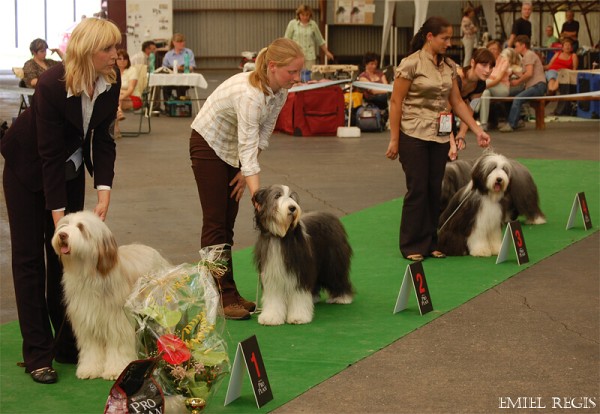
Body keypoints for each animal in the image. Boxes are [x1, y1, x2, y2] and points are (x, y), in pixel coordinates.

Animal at [51, 212, 171, 380]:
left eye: (81, 227)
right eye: (64, 225)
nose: (62, 235)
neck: (90, 275)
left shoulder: (117, 321)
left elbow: (118, 346)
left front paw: (115, 370)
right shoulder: (87, 322)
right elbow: (92, 349)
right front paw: (90, 369)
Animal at [252, 185, 354, 326]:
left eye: (291, 197)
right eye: (277, 196)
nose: (292, 208)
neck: (281, 237)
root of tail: (331, 216)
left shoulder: (300, 271)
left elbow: (298, 296)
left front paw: (298, 317)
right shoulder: (272, 274)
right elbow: (274, 297)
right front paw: (271, 317)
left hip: (332, 261)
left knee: (337, 276)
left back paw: (342, 297)